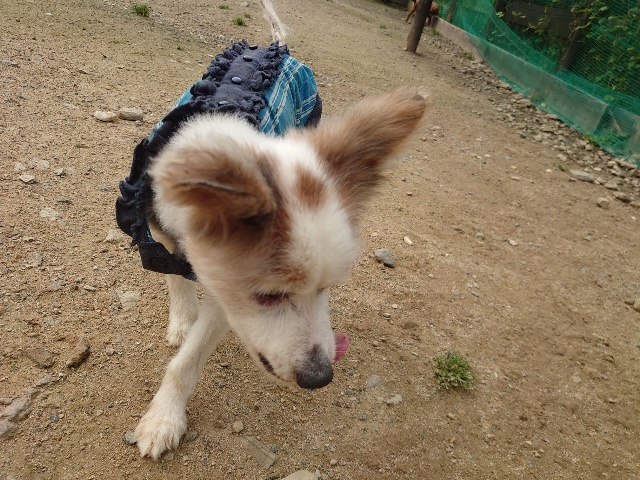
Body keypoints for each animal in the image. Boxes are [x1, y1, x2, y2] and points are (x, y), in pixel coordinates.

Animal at [116, 0, 427, 460]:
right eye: (268, 296)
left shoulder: (225, 296)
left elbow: (187, 361)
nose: (320, 378)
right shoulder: (155, 225)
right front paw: (182, 322)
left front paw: (164, 418)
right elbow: (173, 275)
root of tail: (279, 47)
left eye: (327, 287)